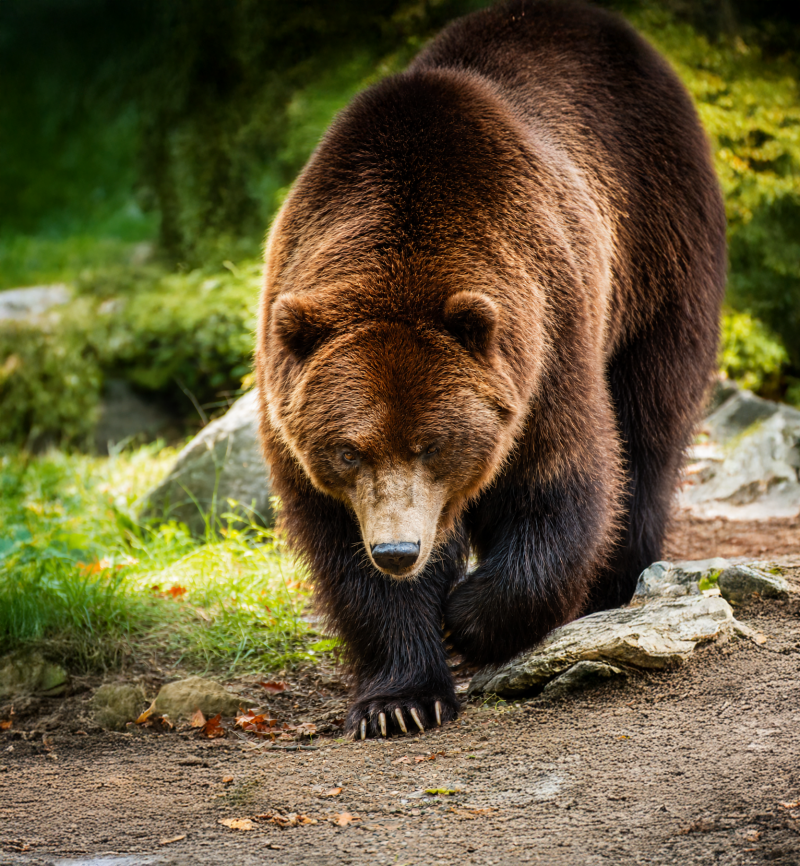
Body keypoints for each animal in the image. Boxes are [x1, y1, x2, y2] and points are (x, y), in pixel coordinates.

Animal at [255, 0, 726, 739]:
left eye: (431, 444)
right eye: (349, 450)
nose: (398, 551)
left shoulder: (545, 341)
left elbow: (562, 482)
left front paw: (468, 616)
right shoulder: (295, 394)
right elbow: (341, 548)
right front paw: (399, 700)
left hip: (661, 256)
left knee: (651, 426)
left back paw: (616, 582)